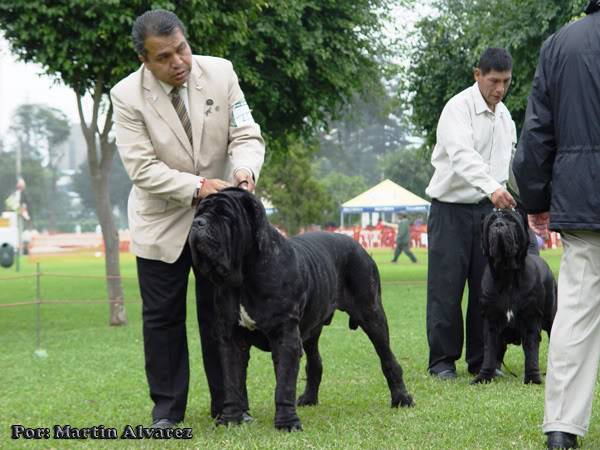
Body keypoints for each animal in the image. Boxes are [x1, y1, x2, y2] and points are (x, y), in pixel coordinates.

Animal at [190, 188, 414, 430]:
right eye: (199, 212)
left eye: (225, 215)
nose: (197, 223)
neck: (244, 275)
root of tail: (359, 246)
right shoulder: (231, 338)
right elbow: (231, 381)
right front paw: (230, 420)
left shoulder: (285, 336)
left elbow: (284, 384)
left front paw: (287, 423)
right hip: (311, 329)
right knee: (315, 363)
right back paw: (308, 398)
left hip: (372, 314)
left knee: (388, 359)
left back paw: (402, 398)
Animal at [474, 209, 556, 384]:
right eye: (491, 222)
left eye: (511, 220)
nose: (499, 224)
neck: (507, 276)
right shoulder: (490, 322)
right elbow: (489, 352)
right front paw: (483, 377)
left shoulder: (531, 319)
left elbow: (531, 352)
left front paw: (533, 378)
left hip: (551, 317)